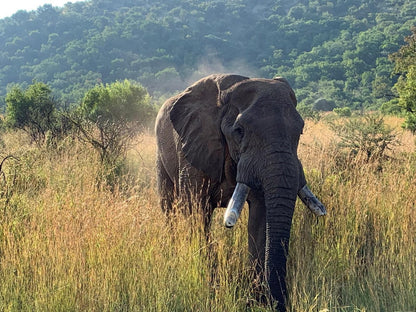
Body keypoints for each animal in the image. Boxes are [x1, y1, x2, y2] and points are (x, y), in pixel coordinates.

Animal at [154, 74, 326, 310]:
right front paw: (210, 289)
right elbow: (195, 211)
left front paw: (258, 301)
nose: (281, 303)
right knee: (170, 208)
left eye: (300, 131)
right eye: (239, 131)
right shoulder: (193, 148)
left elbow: (261, 217)